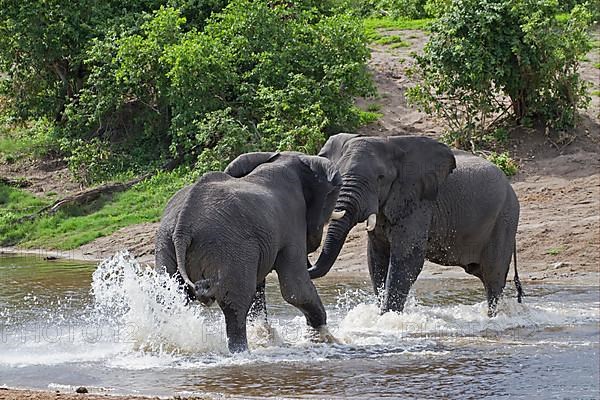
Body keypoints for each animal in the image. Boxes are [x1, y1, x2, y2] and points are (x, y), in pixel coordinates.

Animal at [155, 152, 342, 352]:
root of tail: (182, 229)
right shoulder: (293, 220)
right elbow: (295, 290)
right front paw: (325, 337)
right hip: (227, 247)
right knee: (236, 302)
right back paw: (241, 350)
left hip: (166, 243)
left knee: (168, 297)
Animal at [308, 134, 524, 316]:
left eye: (380, 178)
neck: (389, 143)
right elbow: (376, 259)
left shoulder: (419, 201)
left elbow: (407, 259)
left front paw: (388, 318)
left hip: (505, 219)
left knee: (493, 277)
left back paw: (491, 317)